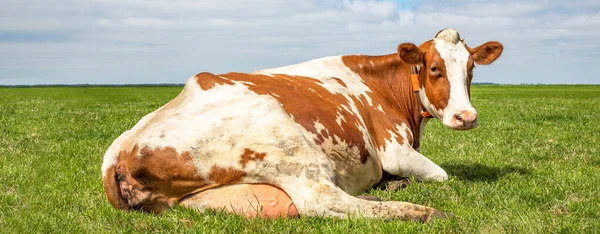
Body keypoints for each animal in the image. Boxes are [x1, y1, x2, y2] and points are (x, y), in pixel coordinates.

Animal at [102, 28, 502, 222]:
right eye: (434, 68)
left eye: (471, 69)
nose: (467, 117)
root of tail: (122, 149)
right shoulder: (395, 150)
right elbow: (443, 175)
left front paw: (394, 183)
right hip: (287, 145)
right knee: (322, 202)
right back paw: (425, 212)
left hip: (204, 199)